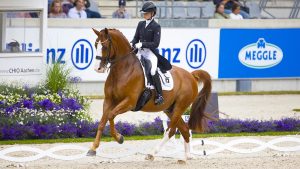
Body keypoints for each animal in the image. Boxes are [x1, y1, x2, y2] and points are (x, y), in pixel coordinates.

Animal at [87, 28, 211, 161]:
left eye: (105, 46)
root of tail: (191, 75)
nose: (98, 68)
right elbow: (102, 122)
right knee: (185, 129)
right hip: (170, 109)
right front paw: (93, 148)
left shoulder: (129, 102)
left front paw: (119, 138)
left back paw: (152, 153)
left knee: (171, 130)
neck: (123, 70)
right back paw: (187, 157)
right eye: (95, 45)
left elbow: (110, 115)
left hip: (180, 106)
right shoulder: (108, 101)